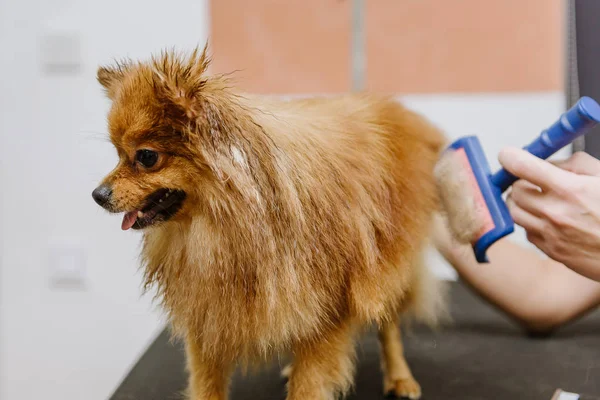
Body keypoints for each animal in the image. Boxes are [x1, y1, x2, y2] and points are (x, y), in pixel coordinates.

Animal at [90, 47, 446, 400]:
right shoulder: (207, 314)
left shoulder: (326, 316)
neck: (225, 226)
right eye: (117, 155)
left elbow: (308, 385)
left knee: (389, 327)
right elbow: (207, 383)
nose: (97, 194)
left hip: (385, 270)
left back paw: (400, 378)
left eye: (146, 157)